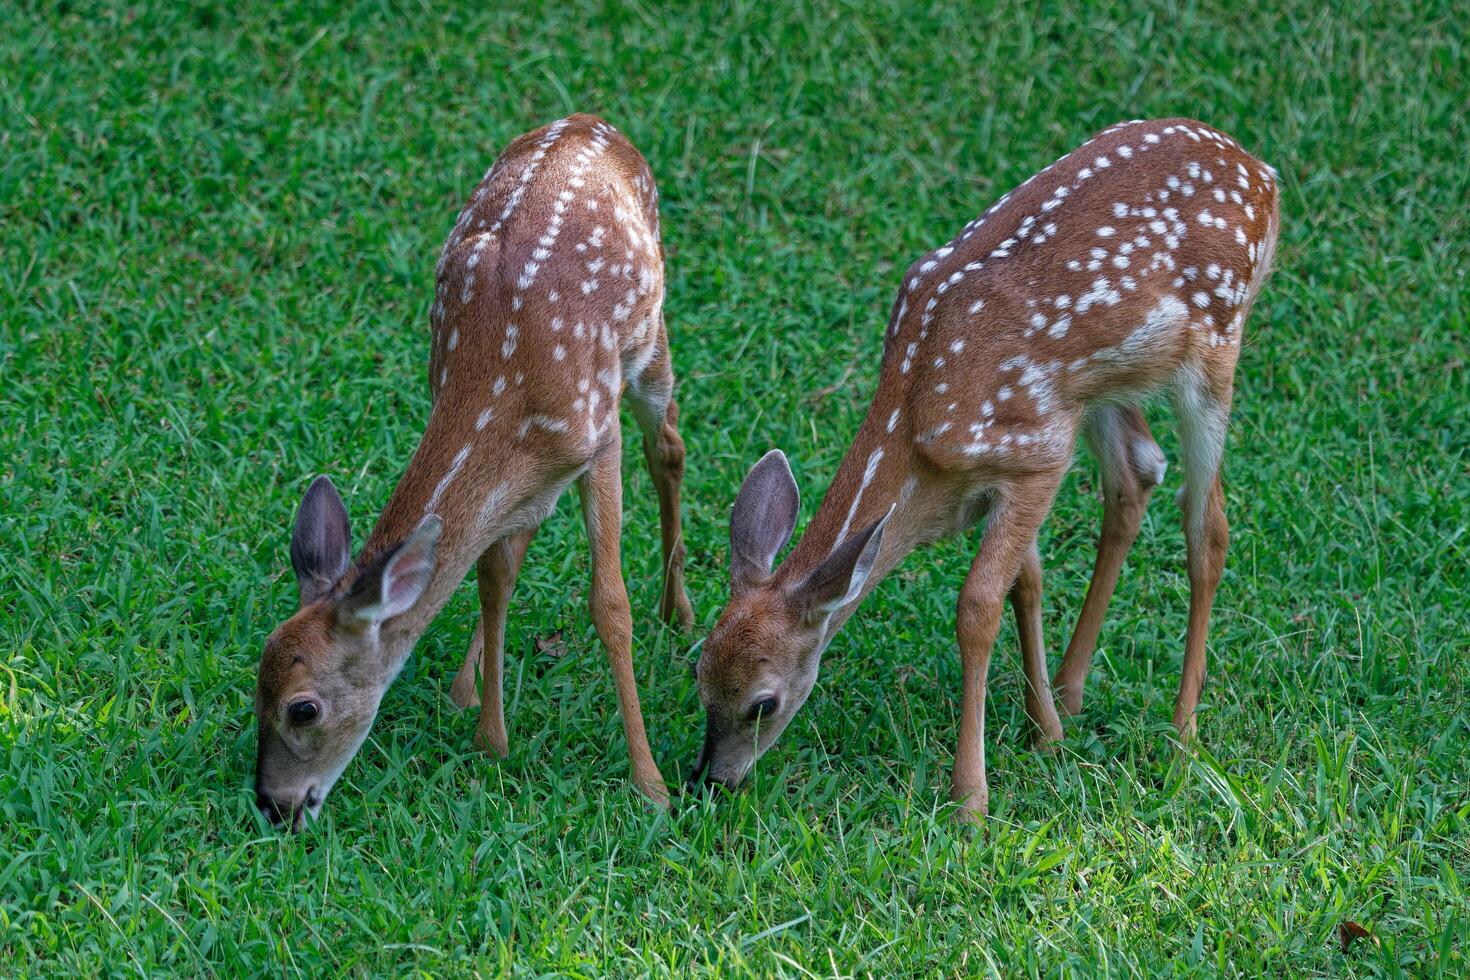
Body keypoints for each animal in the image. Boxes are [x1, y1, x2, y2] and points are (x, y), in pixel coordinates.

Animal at [252, 116, 687, 834]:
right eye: (256, 687)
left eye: (302, 708)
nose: (274, 804)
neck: (497, 383)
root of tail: (592, 122)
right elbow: (493, 576)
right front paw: (490, 736)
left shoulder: (599, 435)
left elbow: (609, 603)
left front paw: (650, 785)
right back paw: (465, 683)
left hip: (649, 338)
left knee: (670, 447)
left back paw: (678, 611)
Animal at [687, 119, 1275, 822]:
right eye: (698, 675)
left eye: (762, 704)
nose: (711, 780)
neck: (919, 435)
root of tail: (1260, 171)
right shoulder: (1016, 463)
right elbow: (1029, 584)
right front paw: (1046, 728)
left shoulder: (1039, 452)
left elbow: (978, 605)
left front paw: (971, 795)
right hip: (1099, 385)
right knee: (1138, 472)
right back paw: (1075, 689)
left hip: (1215, 347)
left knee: (1207, 527)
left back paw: (1184, 735)